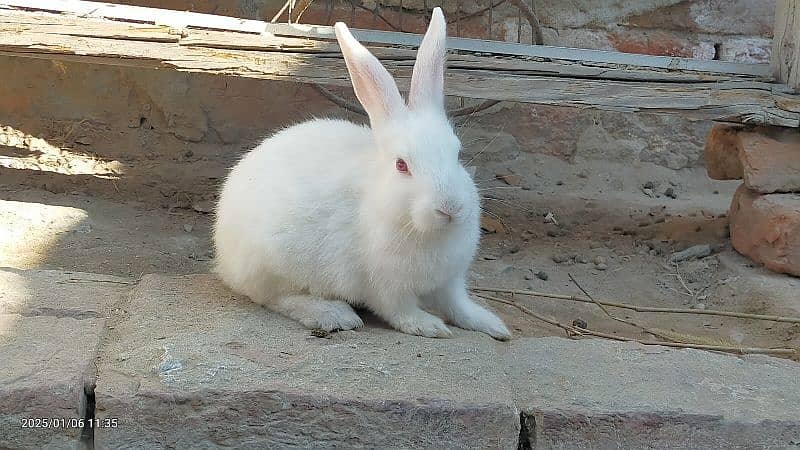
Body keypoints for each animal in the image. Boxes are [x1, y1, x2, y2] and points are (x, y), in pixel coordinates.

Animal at [212, 7, 510, 340]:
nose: (450, 208)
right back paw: (334, 315)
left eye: (457, 154)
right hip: (271, 264)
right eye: (401, 165)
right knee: (276, 298)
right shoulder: (387, 287)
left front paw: (492, 324)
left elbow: (458, 305)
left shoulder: (450, 281)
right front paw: (430, 326)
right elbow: (400, 312)